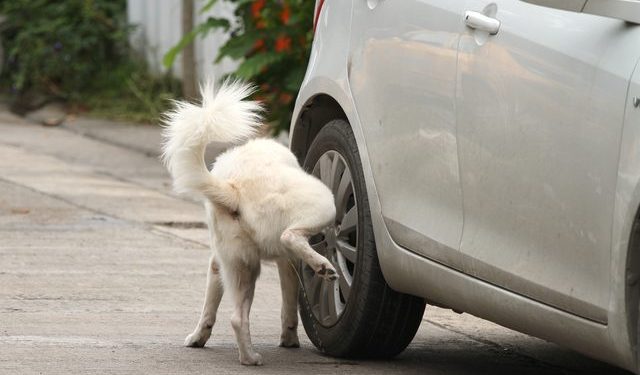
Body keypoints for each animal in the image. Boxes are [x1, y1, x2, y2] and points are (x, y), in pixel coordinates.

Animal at [162, 78, 338, 364]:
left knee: (236, 318)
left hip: (240, 265)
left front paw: (198, 337)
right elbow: (289, 304)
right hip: (323, 203)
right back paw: (323, 265)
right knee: (290, 236)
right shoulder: (288, 263)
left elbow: (210, 307)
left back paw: (249, 358)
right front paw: (290, 338)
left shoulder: (219, 265)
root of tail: (233, 188)